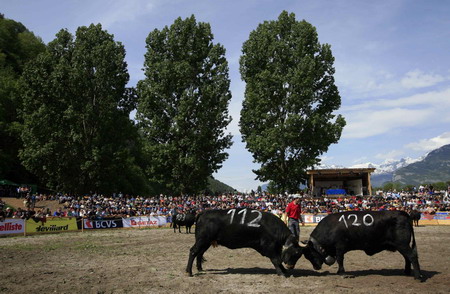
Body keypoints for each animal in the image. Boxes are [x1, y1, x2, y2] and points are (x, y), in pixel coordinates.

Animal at [185, 207, 318, 276]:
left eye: (300, 254)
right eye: (295, 253)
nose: (291, 266)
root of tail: (203, 212)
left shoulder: (275, 248)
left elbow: (278, 259)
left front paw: (284, 271)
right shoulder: (269, 246)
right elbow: (276, 260)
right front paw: (282, 273)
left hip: (206, 242)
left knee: (199, 254)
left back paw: (199, 268)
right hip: (202, 240)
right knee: (193, 251)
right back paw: (189, 272)